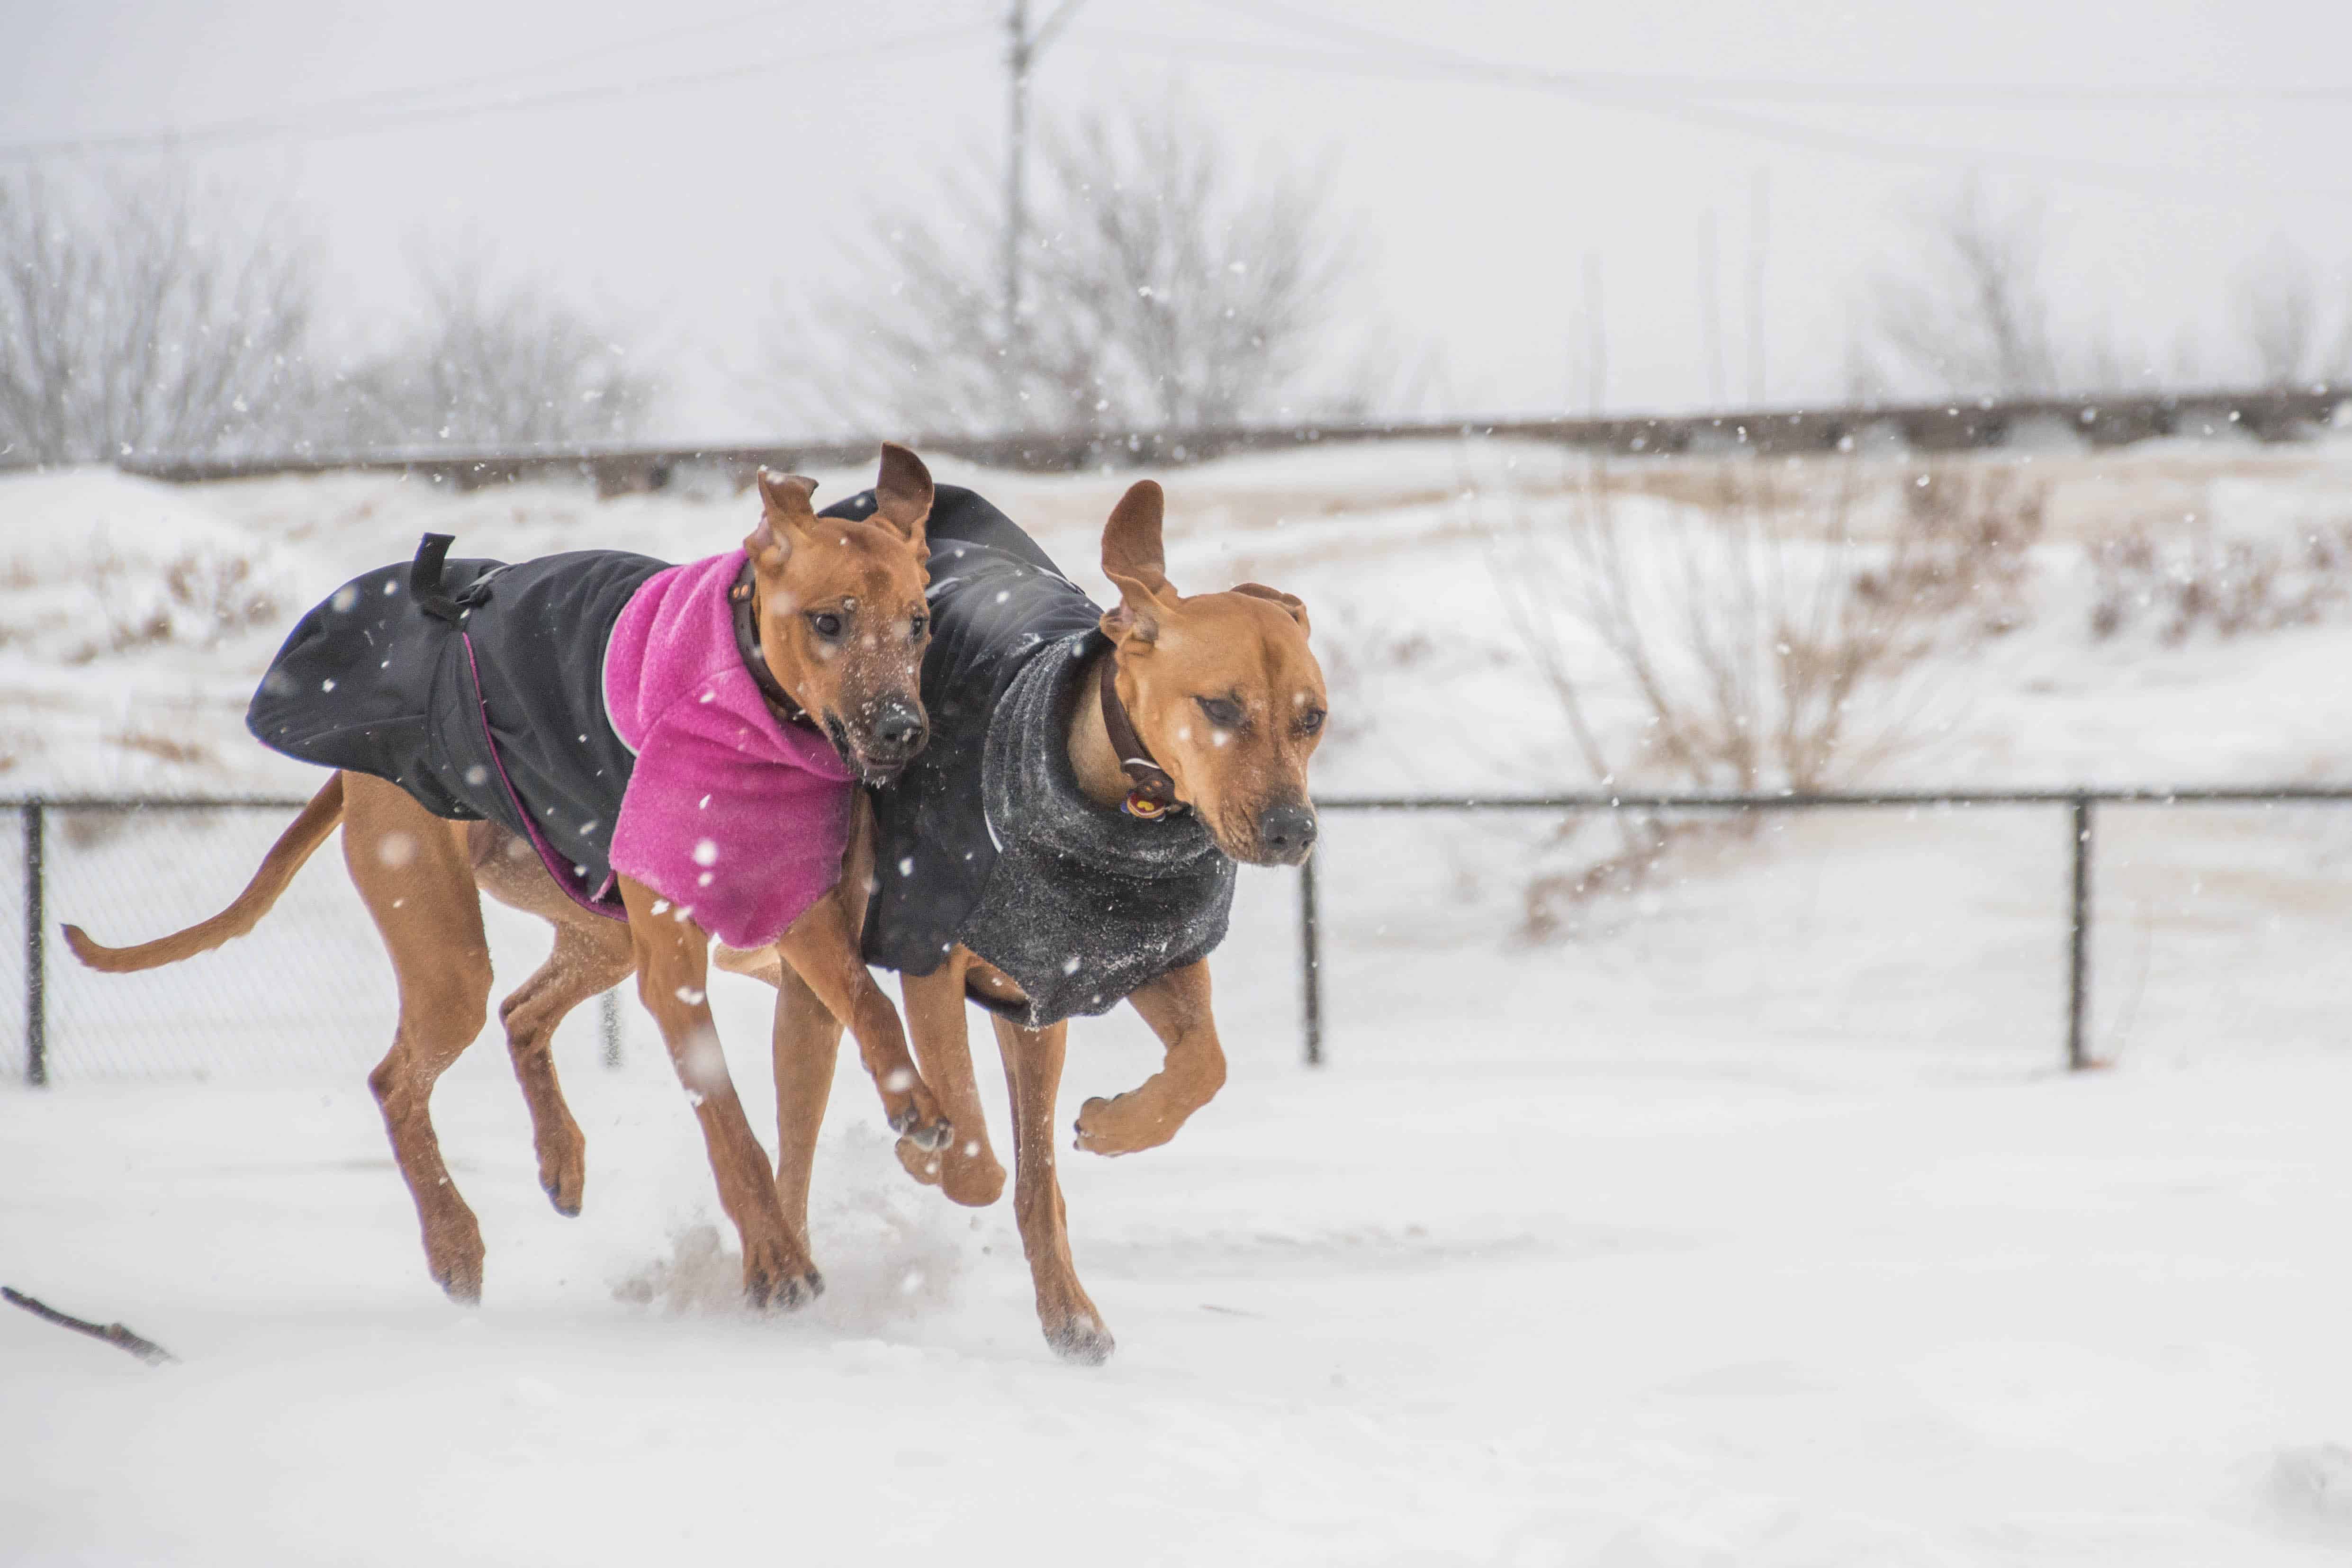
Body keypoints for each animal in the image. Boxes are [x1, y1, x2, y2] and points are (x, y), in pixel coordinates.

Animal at [73, 444, 955, 1316]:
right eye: (828, 622)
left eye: (919, 624)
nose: (902, 730)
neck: (749, 705)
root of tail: (354, 777)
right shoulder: (675, 972)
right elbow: (729, 1128)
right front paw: (776, 1262)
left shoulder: (791, 904)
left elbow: (866, 997)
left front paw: (914, 1101)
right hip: (448, 946)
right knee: (400, 1075)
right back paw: (453, 1240)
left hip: (596, 920)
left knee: (522, 1012)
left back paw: (559, 1153)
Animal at [724, 482, 1336, 1363]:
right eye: (1221, 707)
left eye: (1313, 718)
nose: (1293, 831)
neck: (1122, 825)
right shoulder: (932, 959)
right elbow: (976, 1160)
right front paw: (924, 1154)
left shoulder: (1124, 961)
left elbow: (1205, 1065)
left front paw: (1115, 1125)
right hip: (818, 990)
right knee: (799, 1141)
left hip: (1033, 1017)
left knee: (1038, 1174)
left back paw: (1068, 1309)